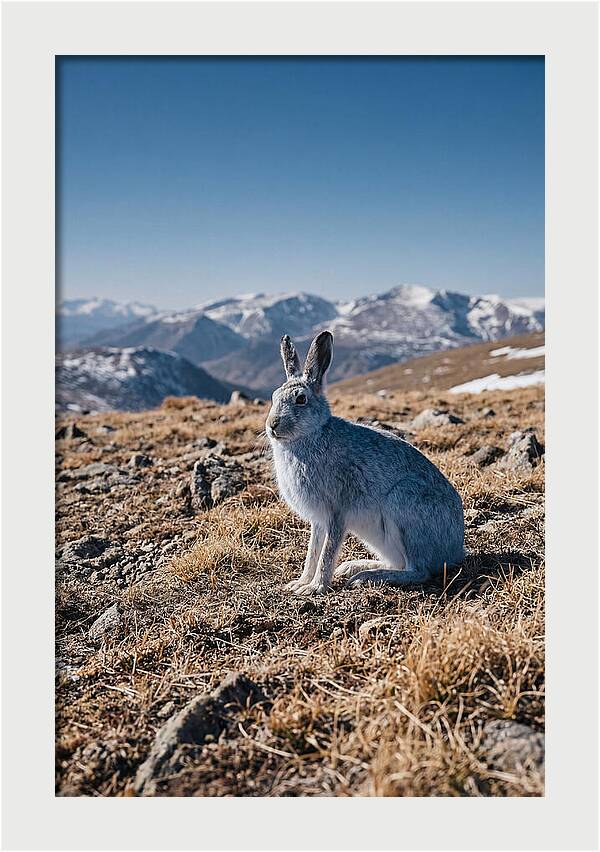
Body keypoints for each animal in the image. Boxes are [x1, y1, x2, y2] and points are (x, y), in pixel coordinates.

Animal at [266, 330, 465, 596]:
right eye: (274, 396)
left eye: (300, 399)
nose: (272, 425)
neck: (310, 435)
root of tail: (455, 551)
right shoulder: (319, 520)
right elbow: (313, 551)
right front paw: (300, 583)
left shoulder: (337, 511)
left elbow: (327, 552)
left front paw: (315, 587)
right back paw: (354, 566)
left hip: (404, 506)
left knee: (418, 570)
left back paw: (367, 576)